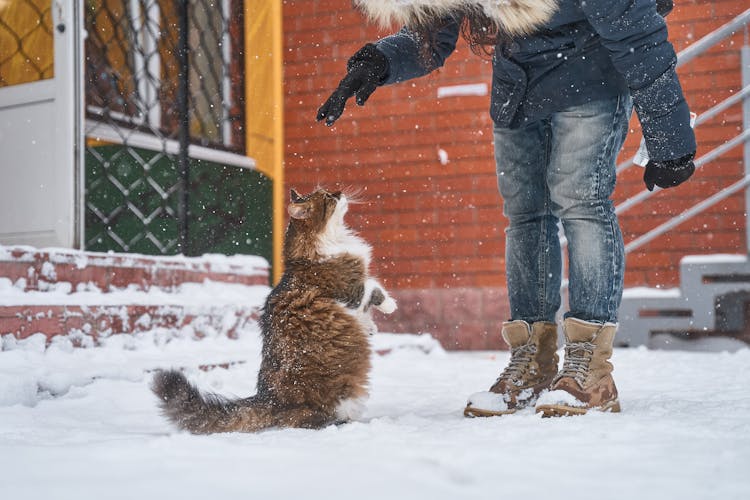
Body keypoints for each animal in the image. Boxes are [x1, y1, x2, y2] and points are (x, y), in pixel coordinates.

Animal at [150, 188, 396, 434]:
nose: (339, 192)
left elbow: (369, 301)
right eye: (327, 198)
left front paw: (370, 327)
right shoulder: (351, 292)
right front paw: (390, 306)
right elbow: (374, 288)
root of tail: (267, 399)